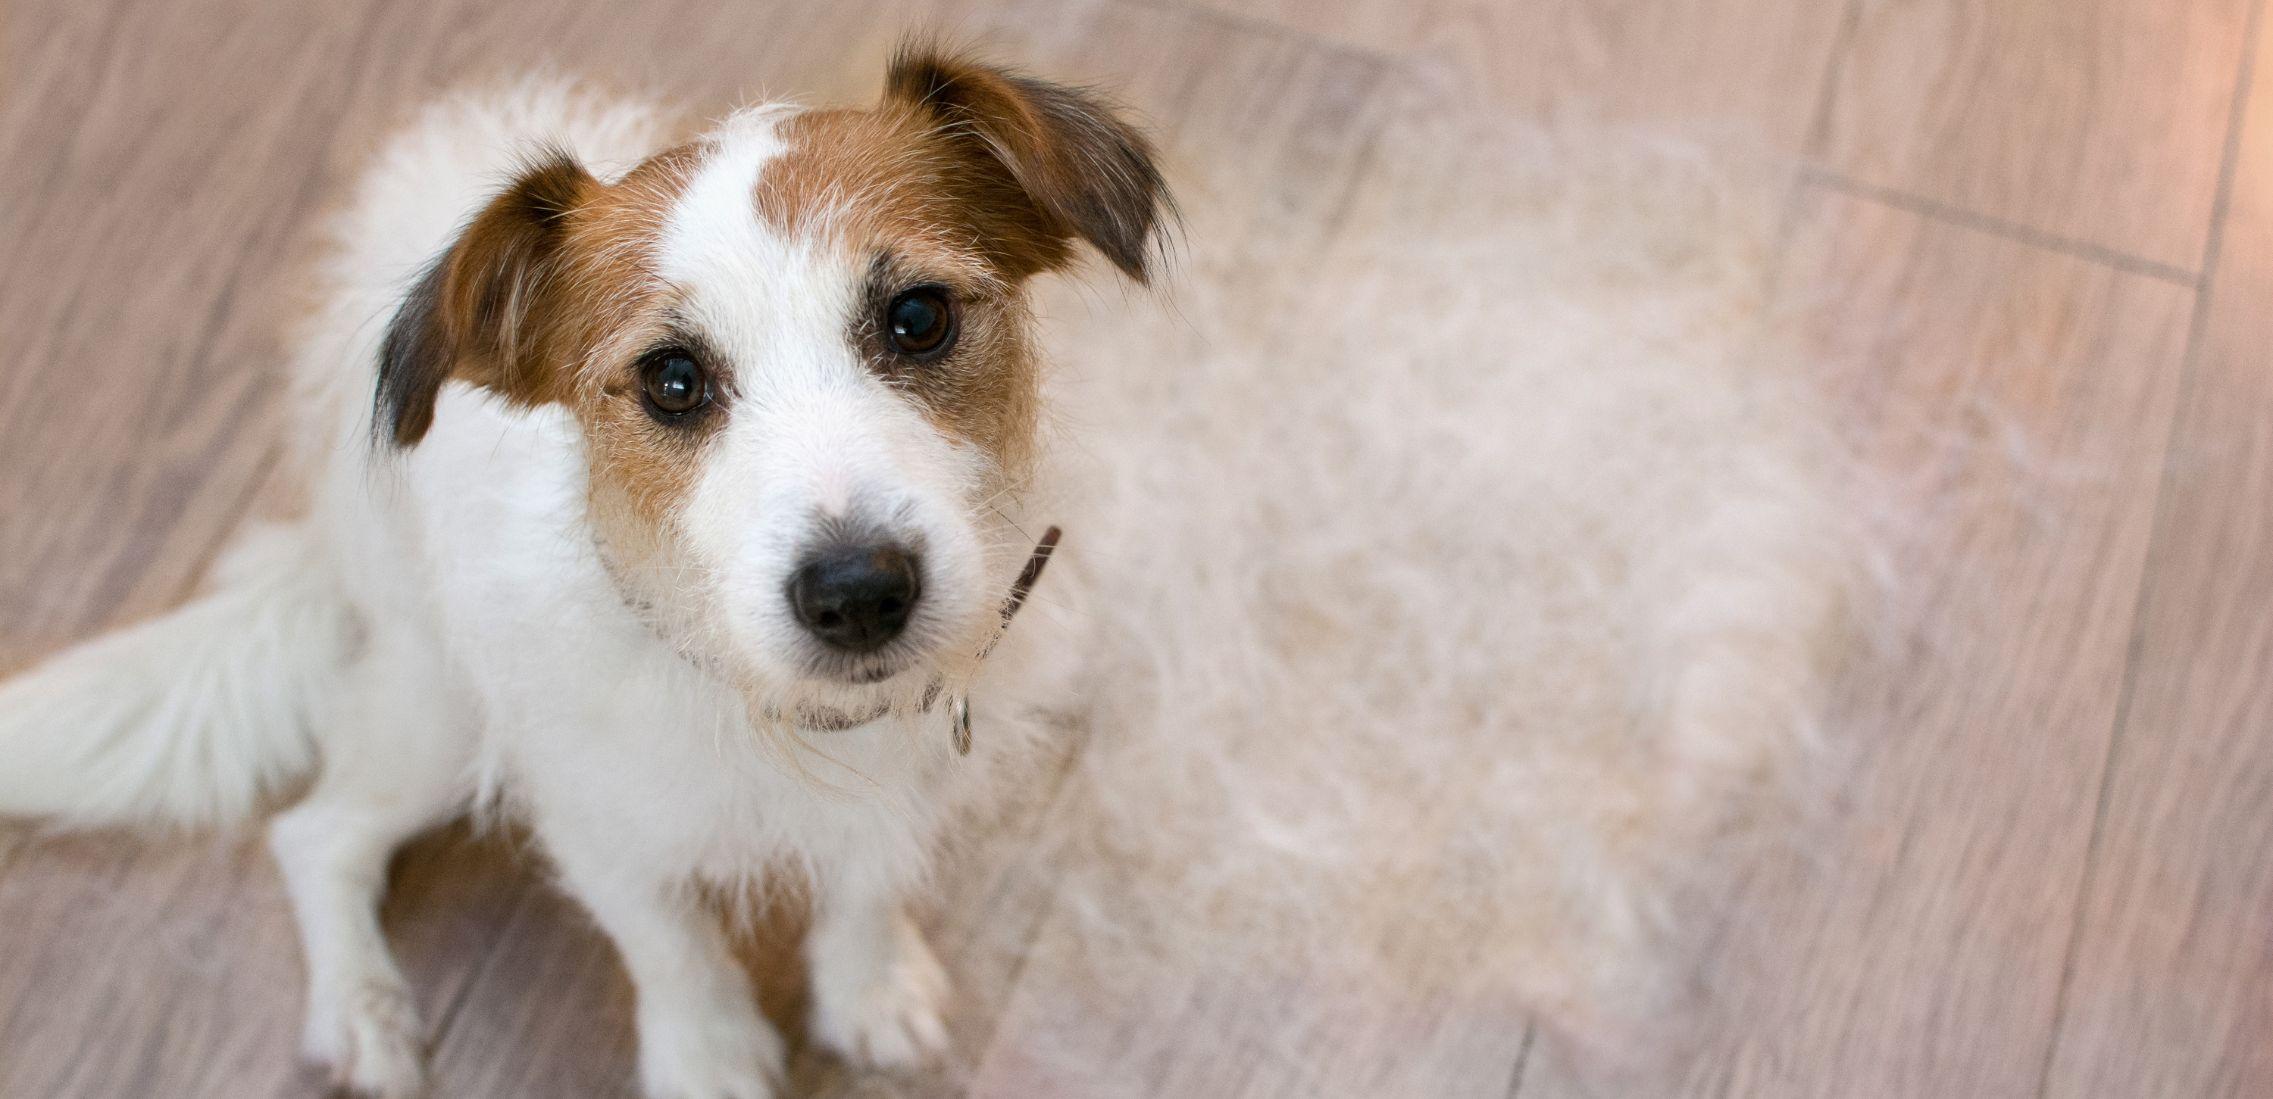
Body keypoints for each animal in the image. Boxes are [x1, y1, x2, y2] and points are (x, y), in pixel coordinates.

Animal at [0, 42, 1172, 1099]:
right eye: (672, 380)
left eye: (918, 317)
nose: (856, 595)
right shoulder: (592, 814)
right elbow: (668, 940)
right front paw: (708, 1055)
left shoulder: (914, 768)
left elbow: (867, 884)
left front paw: (870, 987)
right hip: (440, 715)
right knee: (315, 833)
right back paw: (362, 1009)